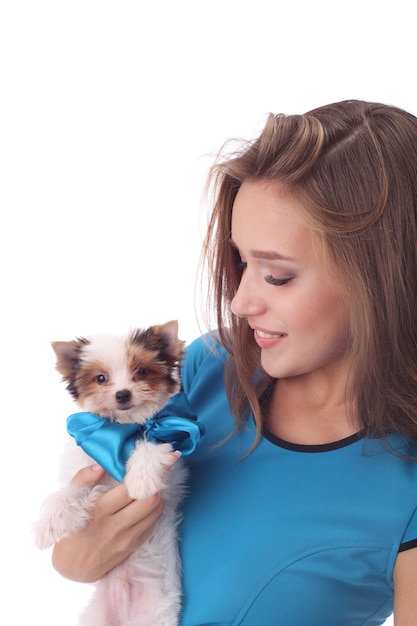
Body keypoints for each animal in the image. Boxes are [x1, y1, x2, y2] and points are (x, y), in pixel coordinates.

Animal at [35, 322, 192, 624]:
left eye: (141, 371)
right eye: (100, 378)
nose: (122, 394)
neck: (122, 429)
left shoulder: (171, 462)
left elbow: (150, 446)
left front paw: (140, 481)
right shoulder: (86, 467)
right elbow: (73, 490)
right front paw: (50, 521)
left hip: (156, 614)